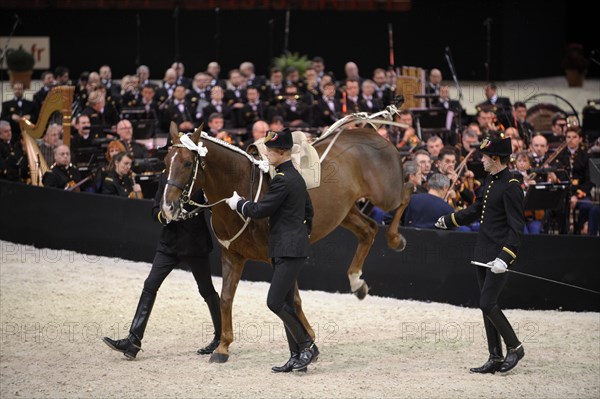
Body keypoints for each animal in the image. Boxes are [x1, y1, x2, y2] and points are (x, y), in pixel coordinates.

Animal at [162, 123, 410, 364]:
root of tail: (372, 132)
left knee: (407, 195)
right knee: (369, 230)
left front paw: (307, 345)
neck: (242, 185)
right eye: (165, 163)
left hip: (385, 196)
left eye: (187, 163)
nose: (168, 207)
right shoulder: (232, 256)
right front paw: (223, 347)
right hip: (345, 212)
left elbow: (291, 302)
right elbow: (226, 298)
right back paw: (357, 282)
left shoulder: (278, 259)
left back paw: (396, 239)